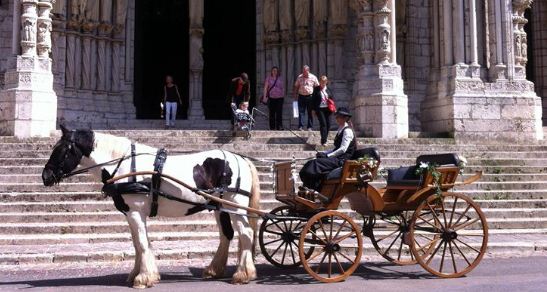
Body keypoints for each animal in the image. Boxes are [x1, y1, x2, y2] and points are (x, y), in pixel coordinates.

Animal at [41, 125, 260, 288]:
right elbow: (137, 244)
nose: (45, 176)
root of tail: (241, 158)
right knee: (227, 235)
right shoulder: (130, 214)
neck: (125, 166)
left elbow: (142, 243)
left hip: (236, 208)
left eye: (62, 149)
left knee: (246, 234)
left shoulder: (136, 212)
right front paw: (136, 273)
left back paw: (243, 274)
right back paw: (214, 270)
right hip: (219, 207)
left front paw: (144, 278)